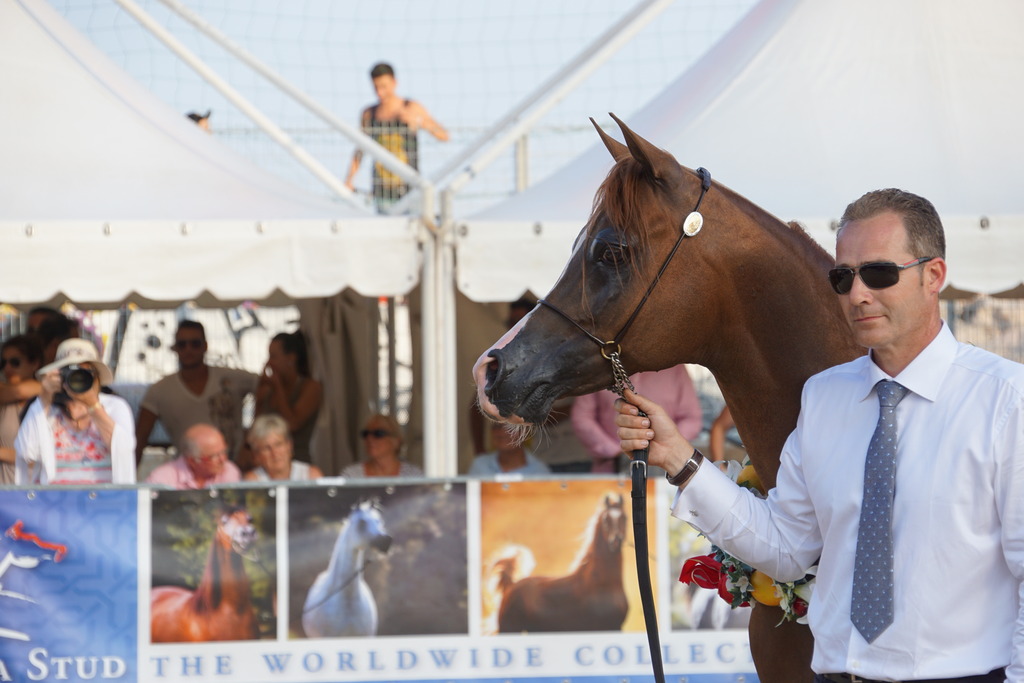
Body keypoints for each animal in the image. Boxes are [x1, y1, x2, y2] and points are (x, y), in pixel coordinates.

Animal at [491, 492, 628, 633]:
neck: (602, 585)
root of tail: (510, 586)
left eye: (625, 517)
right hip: (509, 628)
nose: (616, 541)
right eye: (606, 519)